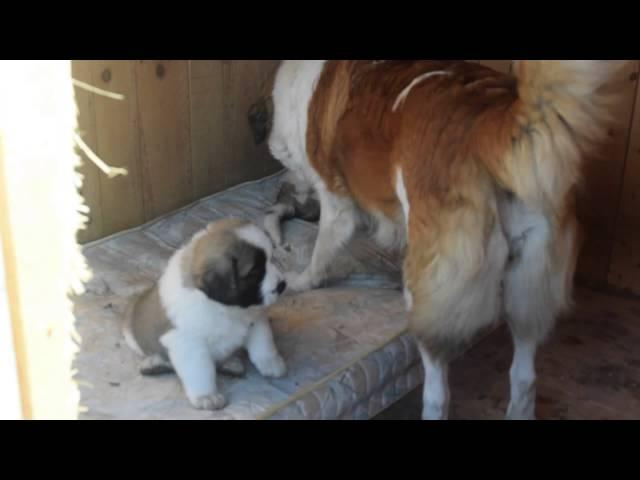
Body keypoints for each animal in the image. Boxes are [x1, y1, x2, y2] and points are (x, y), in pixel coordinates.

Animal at [123, 219, 288, 410]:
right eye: (255, 272)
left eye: (271, 258)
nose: (282, 285)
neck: (225, 308)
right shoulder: (187, 342)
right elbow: (199, 370)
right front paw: (206, 396)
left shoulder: (256, 318)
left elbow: (264, 344)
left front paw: (271, 362)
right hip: (132, 336)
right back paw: (154, 363)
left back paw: (230, 363)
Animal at [252, 61, 628, 420]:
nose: (283, 195)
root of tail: (489, 121)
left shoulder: (336, 204)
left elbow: (321, 252)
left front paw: (302, 280)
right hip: (529, 290)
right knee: (524, 378)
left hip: (431, 299)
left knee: (438, 392)